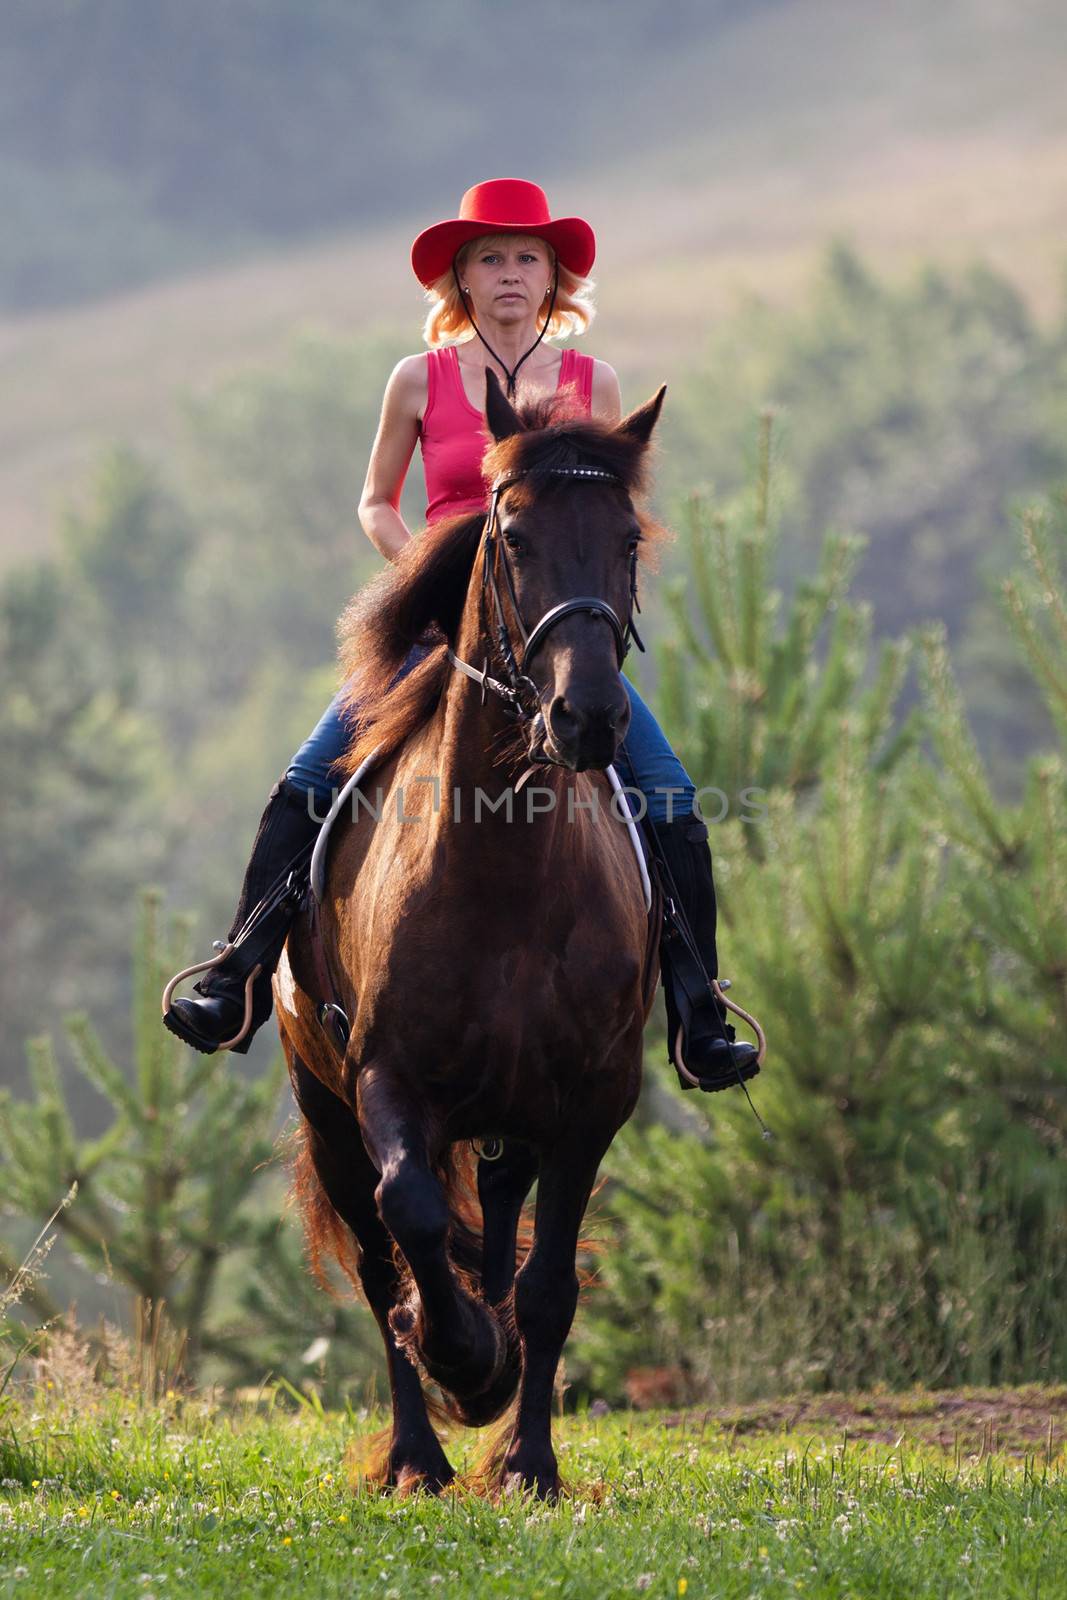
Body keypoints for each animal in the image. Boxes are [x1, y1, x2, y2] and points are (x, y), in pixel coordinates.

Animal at [278, 374, 668, 1497]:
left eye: (627, 537)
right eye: (512, 535)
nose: (586, 717)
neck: (503, 875)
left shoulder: (592, 1101)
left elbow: (546, 1287)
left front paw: (528, 1459)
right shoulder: (383, 1081)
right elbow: (410, 1219)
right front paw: (461, 1358)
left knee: (496, 1240)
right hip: (325, 1110)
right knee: (377, 1263)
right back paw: (417, 1451)